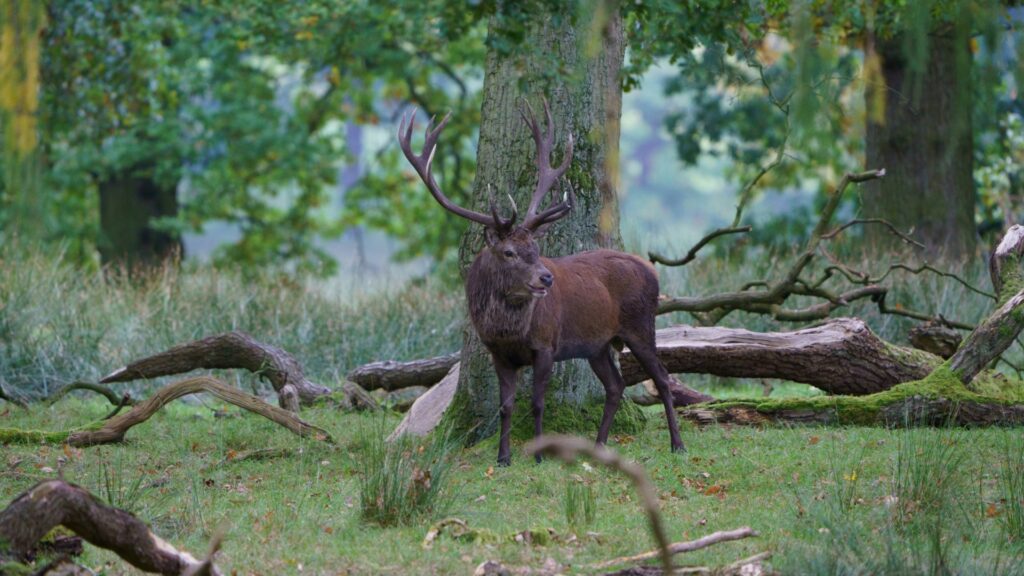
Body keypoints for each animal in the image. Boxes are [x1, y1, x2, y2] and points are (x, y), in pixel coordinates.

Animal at [398, 99, 688, 466]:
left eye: (536, 249)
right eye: (509, 252)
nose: (546, 277)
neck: (509, 331)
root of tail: (652, 270)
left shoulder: (546, 344)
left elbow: (538, 402)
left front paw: (538, 455)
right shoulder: (498, 353)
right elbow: (505, 406)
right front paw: (503, 457)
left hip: (640, 324)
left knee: (662, 377)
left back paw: (677, 444)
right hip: (597, 344)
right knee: (615, 386)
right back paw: (599, 446)